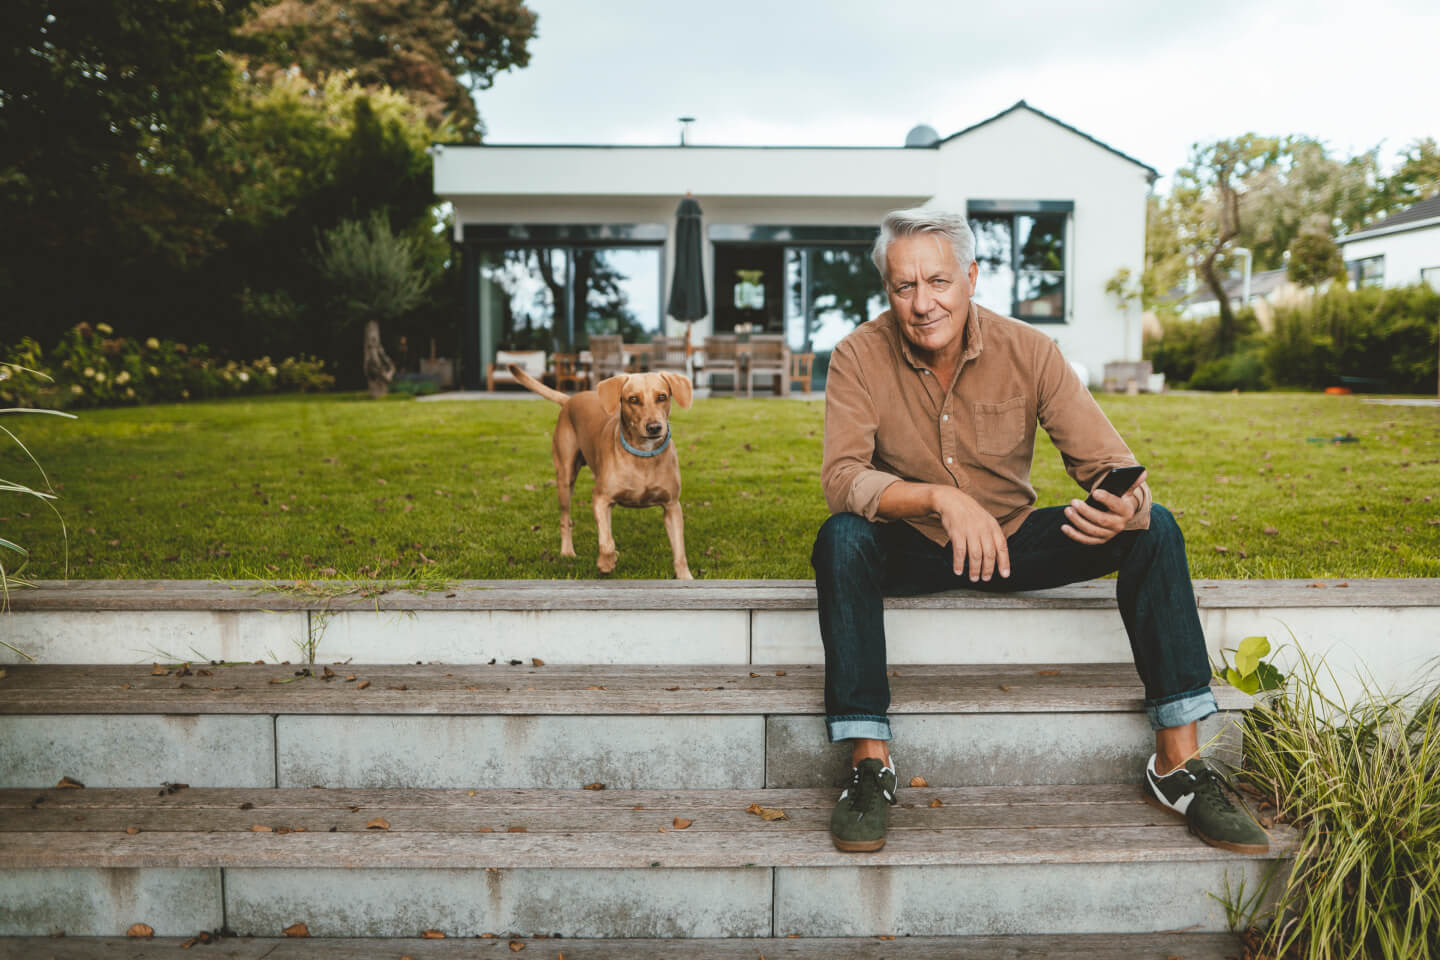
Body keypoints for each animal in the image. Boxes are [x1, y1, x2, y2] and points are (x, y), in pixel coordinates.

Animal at [506, 365, 691, 578]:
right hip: (565, 479)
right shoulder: (600, 498)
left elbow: (680, 550)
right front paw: (606, 562)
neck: (643, 455)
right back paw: (567, 551)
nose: (654, 427)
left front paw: (685, 576)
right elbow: (606, 541)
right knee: (566, 519)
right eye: (633, 399)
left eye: (662, 397)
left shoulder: (672, 506)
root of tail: (570, 399)